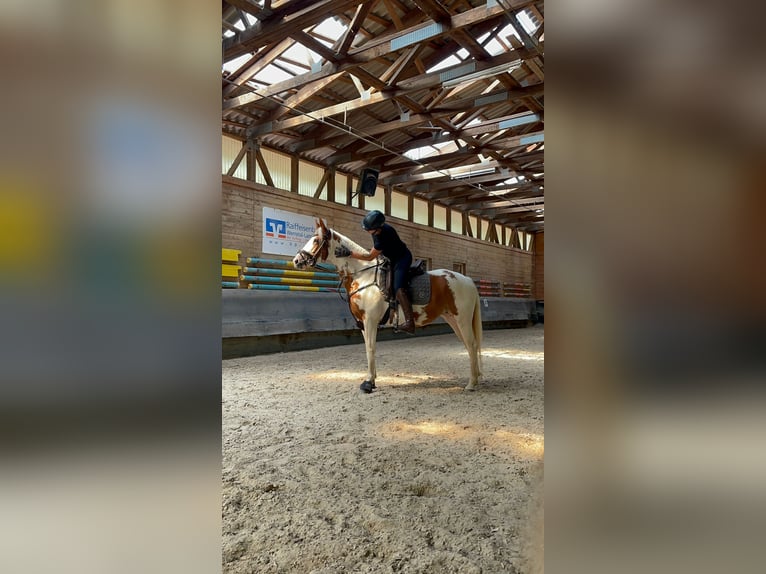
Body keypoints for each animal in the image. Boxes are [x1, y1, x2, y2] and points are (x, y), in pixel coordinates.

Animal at [293, 218, 483, 393]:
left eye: (316, 240)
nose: (296, 261)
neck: (363, 276)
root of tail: (467, 280)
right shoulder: (362, 323)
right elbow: (368, 349)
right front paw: (371, 379)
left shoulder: (370, 321)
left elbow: (371, 348)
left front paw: (369, 383)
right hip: (453, 320)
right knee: (469, 346)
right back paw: (476, 378)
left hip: (462, 320)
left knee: (472, 345)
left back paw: (471, 384)